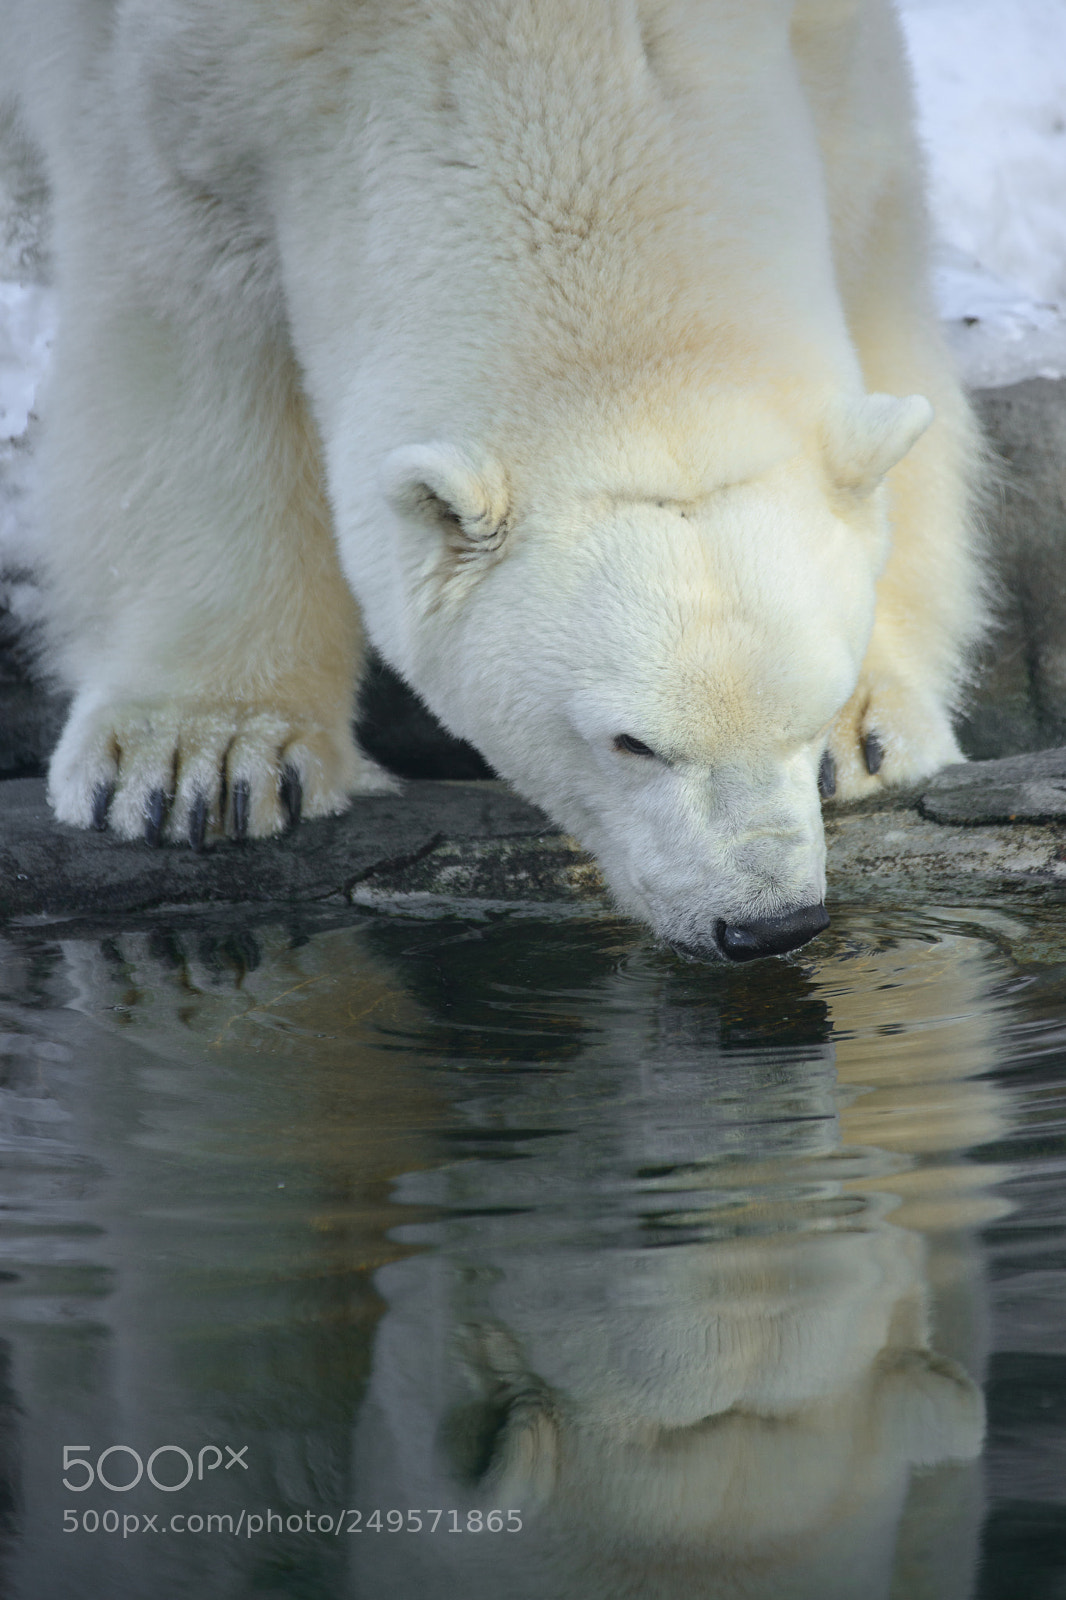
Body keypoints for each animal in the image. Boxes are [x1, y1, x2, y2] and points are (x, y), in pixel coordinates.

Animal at [0, 0, 985, 960]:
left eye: (810, 719)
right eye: (632, 743)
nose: (766, 924)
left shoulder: (827, 44)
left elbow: (872, 244)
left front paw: (875, 729)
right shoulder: (181, 84)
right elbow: (183, 335)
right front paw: (203, 761)